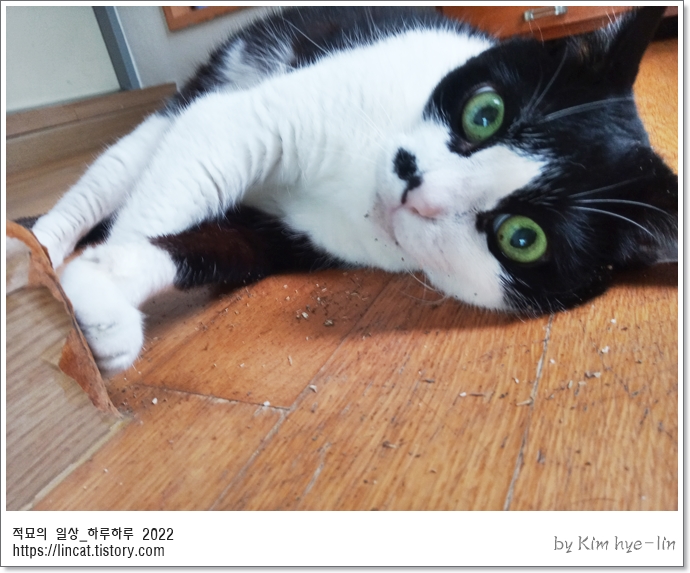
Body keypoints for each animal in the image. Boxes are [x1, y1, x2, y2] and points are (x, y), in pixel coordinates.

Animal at [30, 6, 677, 374]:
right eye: (484, 113)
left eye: (523, 238)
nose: (416, 186)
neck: (359, 186)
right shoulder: (245, 120)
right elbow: (158, 207)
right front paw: (89, 315)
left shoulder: (281, 239)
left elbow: (205, 248)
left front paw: (107, 298)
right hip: (218, 82)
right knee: (120, 169)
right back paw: (38, 247)